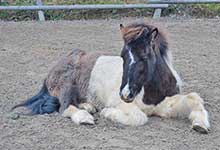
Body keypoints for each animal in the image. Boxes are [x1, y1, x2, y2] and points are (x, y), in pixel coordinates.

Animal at [11, 22, 210, 134]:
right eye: (122, 56)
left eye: (144, 56)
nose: (126, 94)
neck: (150, 92)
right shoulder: (126, 105)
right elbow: (139, 117)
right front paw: (108, 113)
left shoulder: (164, 104)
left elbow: (194, 98)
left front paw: (201, 124)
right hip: (67, 83)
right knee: (65, 106)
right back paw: (84, 116)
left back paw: (88, 106)